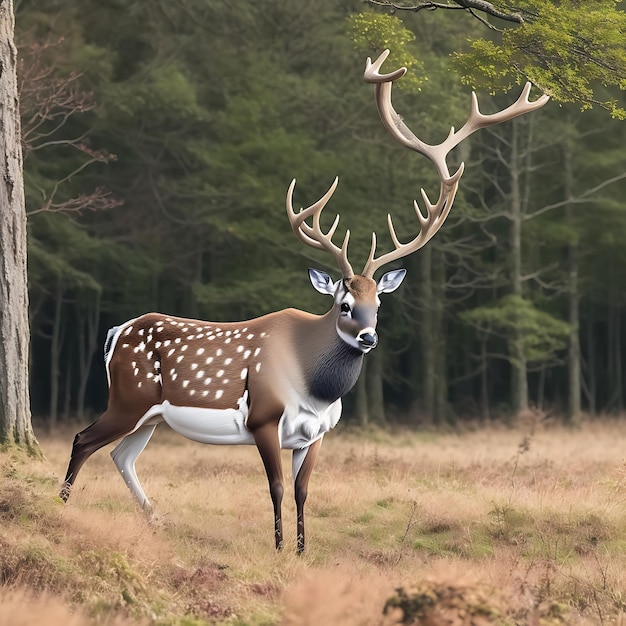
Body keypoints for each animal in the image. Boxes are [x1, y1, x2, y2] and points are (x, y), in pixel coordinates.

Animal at [58, 52, 544, 552]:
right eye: (343, 304)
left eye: (379, 304)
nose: (368, 338)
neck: (315, 389)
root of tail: (115, 333)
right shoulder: (263, 417)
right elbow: (274, 487)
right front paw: (277, 550)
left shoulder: (317, 435)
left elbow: (303, 490)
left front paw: (302, 549)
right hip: (129, 396)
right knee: (82, 439)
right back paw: (62, 505)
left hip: (152, 415)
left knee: (120, 455)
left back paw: (156, 520)